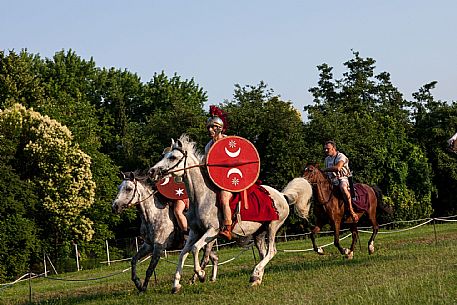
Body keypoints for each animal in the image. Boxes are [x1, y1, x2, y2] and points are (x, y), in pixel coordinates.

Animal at [151, 134, 314, 290]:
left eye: (172, 157)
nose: (152, 171)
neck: (201, 197)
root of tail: (282, 196)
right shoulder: (195, 232)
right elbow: (183, 254)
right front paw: (176, 285)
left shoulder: (212, 231)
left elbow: (195, 249)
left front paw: (201, 275)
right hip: (259, 233)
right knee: (263, 253)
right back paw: (256, 278)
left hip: (273, 226)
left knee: (271, 251)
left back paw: (255, 274)